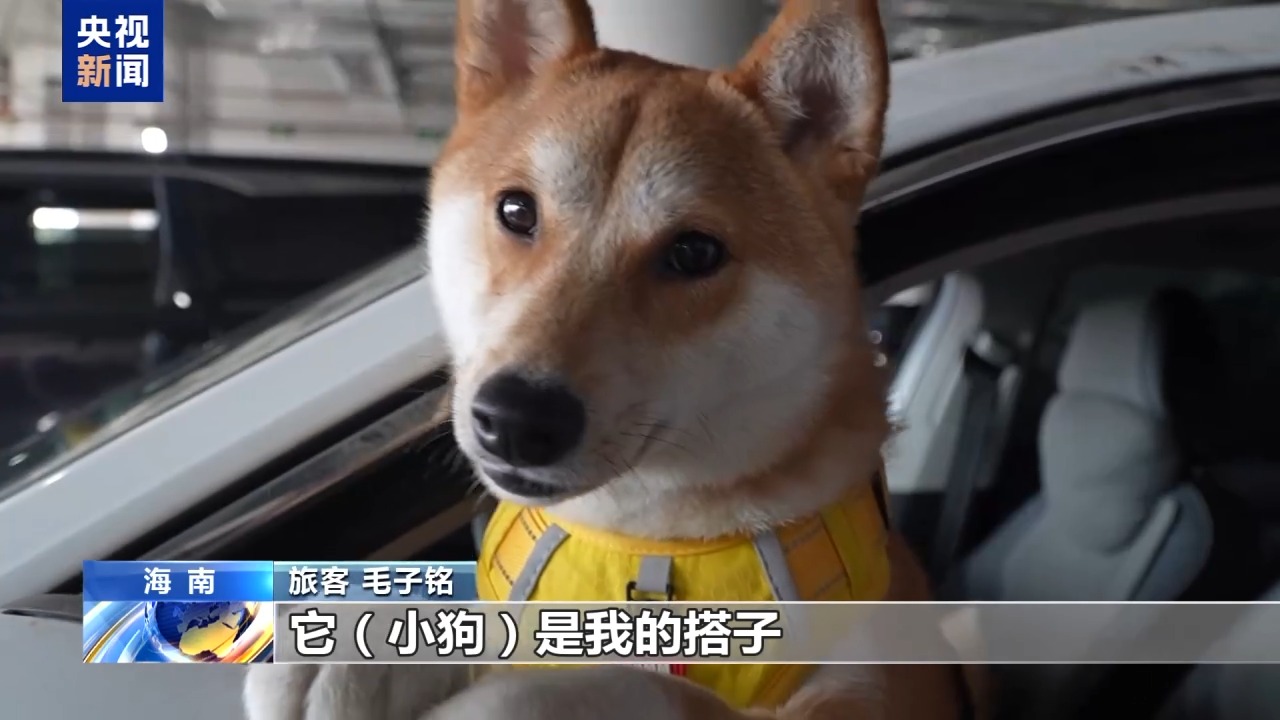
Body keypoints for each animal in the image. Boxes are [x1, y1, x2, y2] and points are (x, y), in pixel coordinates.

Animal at [245, 0, 979, 718]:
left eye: (694, 253)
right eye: (516, 210)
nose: (517, 419)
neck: (648, 547)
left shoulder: (871, 690)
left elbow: (654, 687)